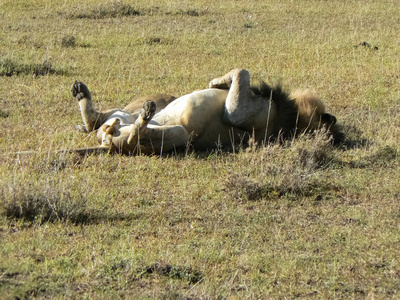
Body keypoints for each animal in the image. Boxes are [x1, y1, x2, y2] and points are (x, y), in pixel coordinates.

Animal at [70, 68, 342, 155]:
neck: (293, 121)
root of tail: (106, 144)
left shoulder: (242, 113)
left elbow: (241, 70)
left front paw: (216, 82)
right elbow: (241, 72)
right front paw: (219, 84)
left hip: (177, 134)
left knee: (133, 136)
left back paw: (146, 113)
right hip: (121, 117)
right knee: (98, 121)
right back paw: (81, 93)